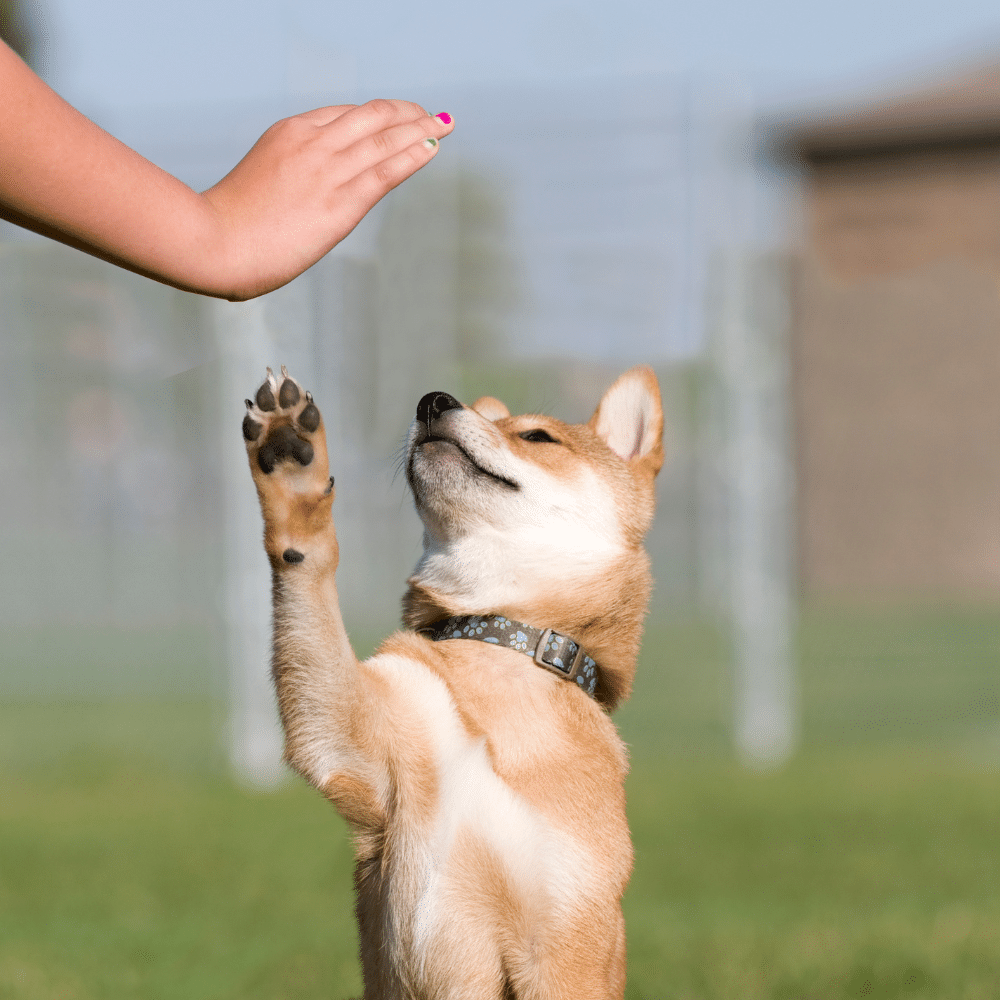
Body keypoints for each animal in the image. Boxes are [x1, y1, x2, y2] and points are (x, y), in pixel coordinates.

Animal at [241, 368, 664, 1000]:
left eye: (537, 437)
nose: (433, 401)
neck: (501, 643)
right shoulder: (351, 744)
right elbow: (310, 573)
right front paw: (291, 468)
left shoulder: (565, 949)